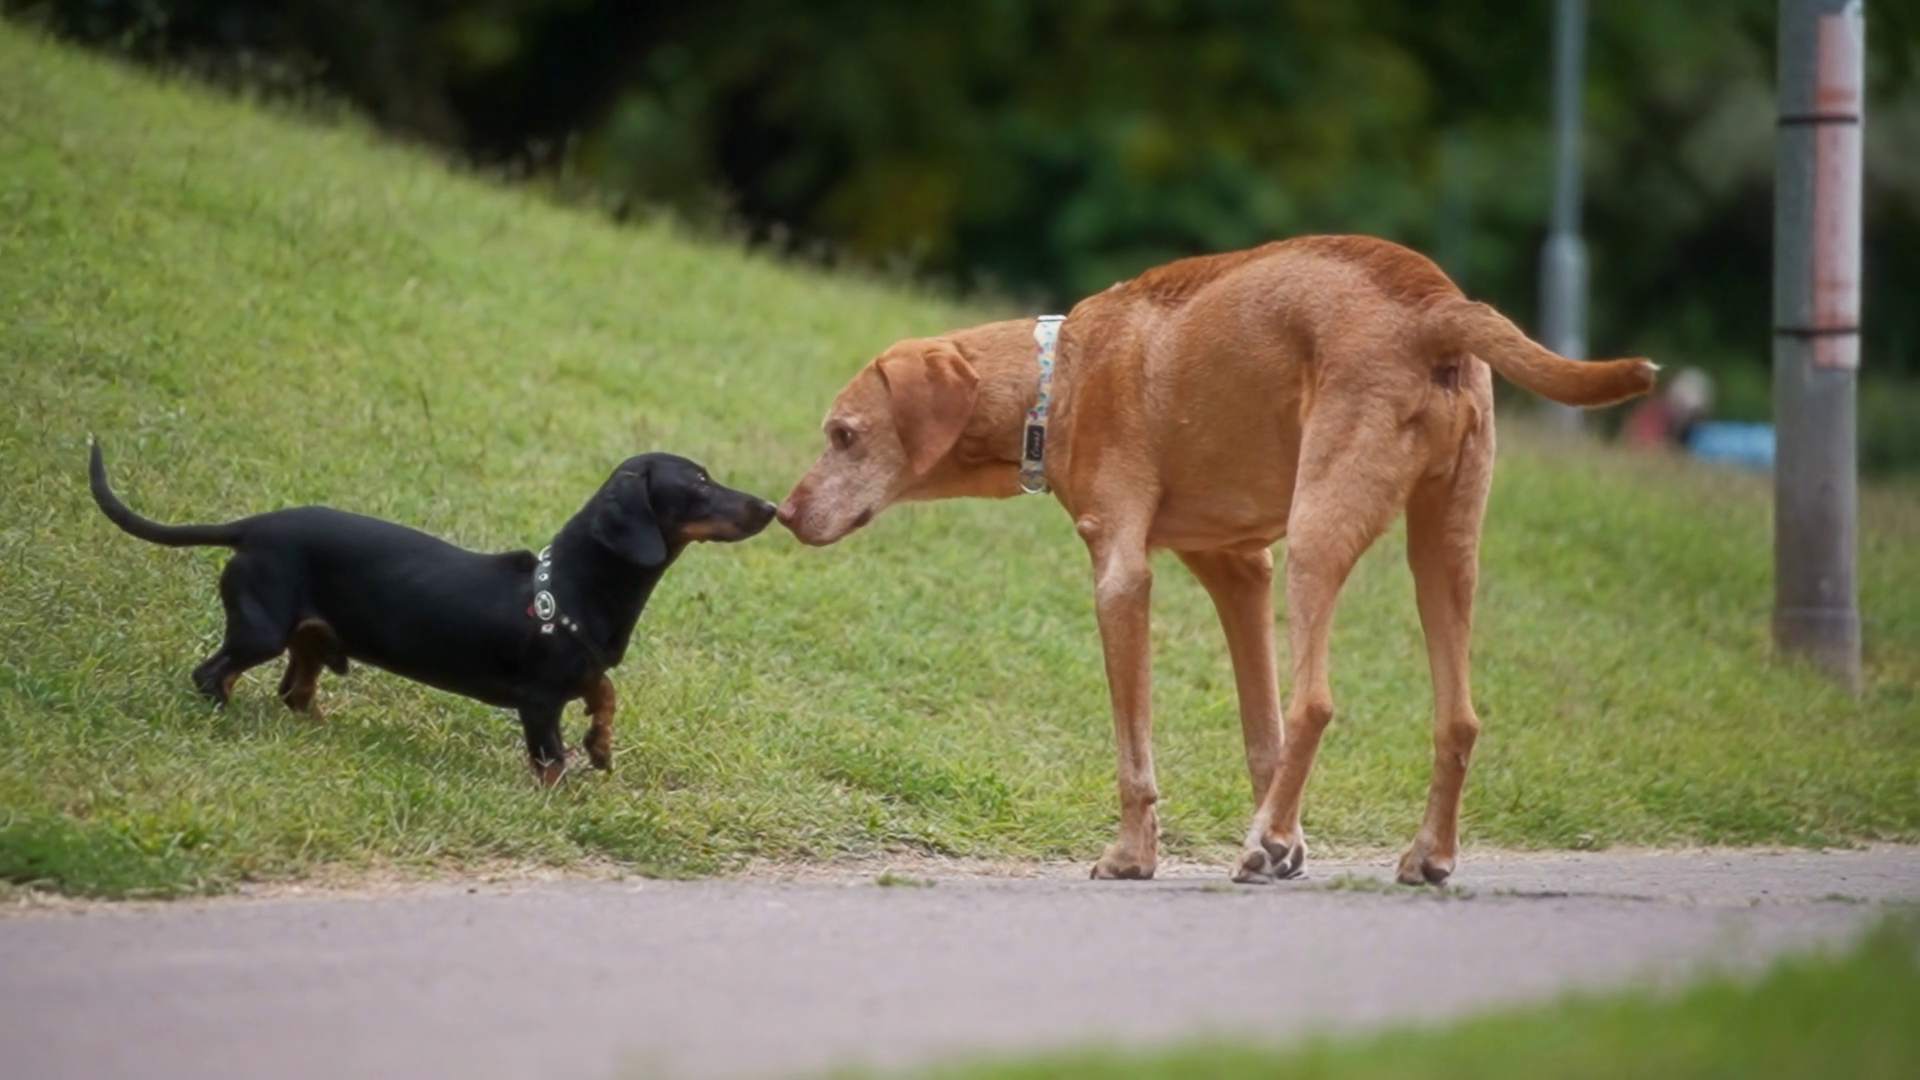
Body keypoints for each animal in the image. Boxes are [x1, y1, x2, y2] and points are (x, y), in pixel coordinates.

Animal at [89, 442, 776, 784]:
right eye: (701, 482)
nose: (771, 506)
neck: (569, 590)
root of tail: (255, 526)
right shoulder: (538, 701)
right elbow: (551, 761)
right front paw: (571, 789)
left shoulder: (581, 675)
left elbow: (604, 692)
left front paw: (602, 746)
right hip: (261, 630)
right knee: (214, 674)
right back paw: (226, 721)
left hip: (307, 640)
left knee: (295, 691)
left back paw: (322, 731)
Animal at [778, 235, 1655, 884]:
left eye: (844, 435)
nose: (784, 514)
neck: (1059, 377)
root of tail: (1435, 306)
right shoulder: (1238, 571)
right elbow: (1261, 731)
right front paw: (1286, 841)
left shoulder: (1121, 577)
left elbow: (1138, 750)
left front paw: (1137, 855)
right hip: (1443, 547)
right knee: (1458, 716)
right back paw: (1421, 854)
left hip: (1319, 529)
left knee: (1317, 702)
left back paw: (1270, 841)